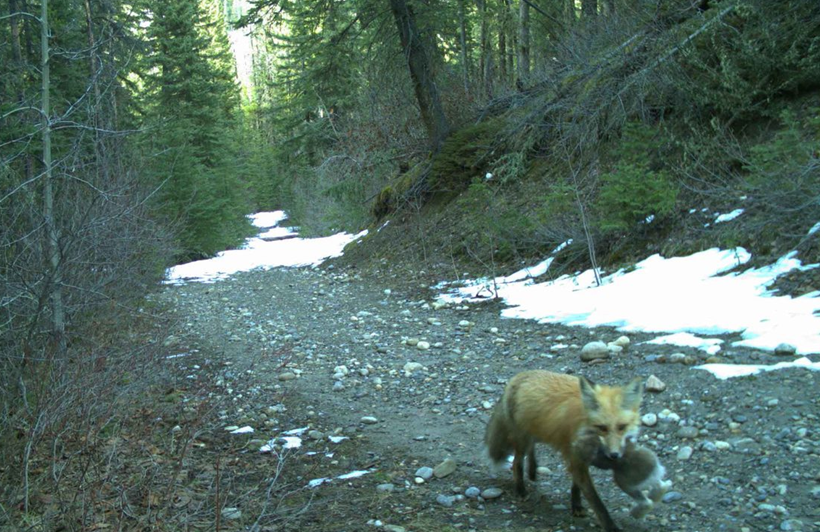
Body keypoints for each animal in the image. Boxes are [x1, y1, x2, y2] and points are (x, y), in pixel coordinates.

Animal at [485, 370, 644, 532]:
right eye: (602, 428)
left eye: (622, 427)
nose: (614, 455)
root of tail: (520, 375)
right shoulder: (576, 459)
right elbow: (597, 502)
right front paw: (611, 527)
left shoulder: (580, 459)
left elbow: (576, 486)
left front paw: (576, 506)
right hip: (524, 437)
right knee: (516, 463)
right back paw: (521, 489)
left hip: (540, 432)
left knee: (531, 449)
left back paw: (533, 470)